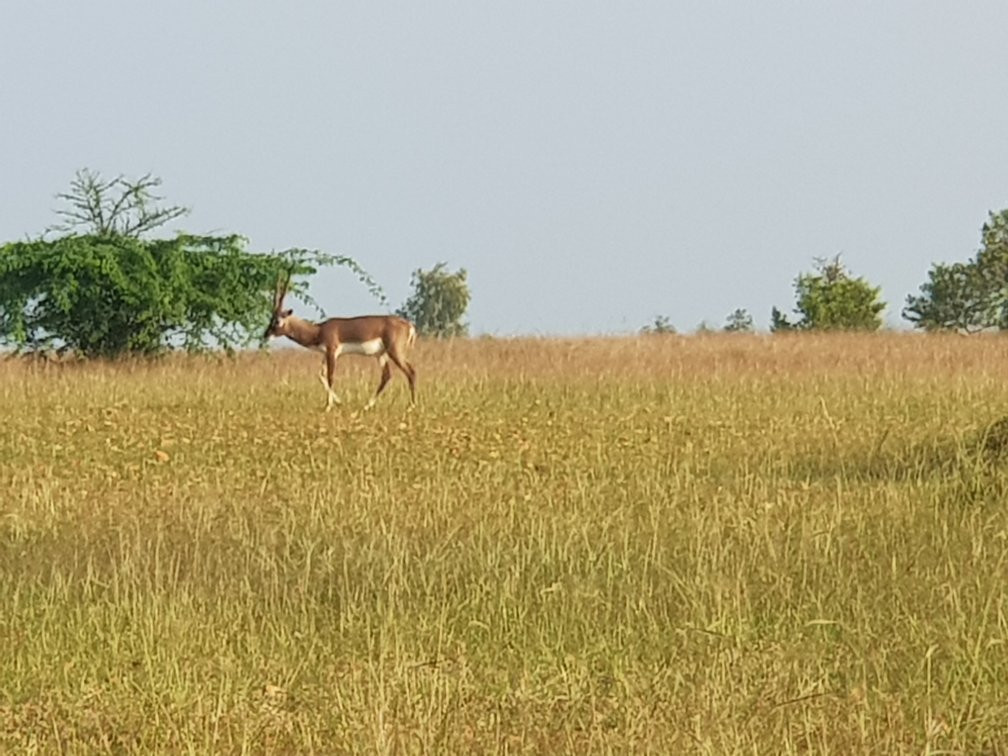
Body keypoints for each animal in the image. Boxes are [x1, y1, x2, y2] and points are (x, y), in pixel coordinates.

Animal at [264, 274, 417, 415]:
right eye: (271, 319)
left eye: (277, 321)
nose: (266, 335)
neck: (319, 330)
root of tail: (408, 325)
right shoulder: (325, 353)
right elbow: (321, 375)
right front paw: (338, 402)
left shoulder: (333, 352)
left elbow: (330, 376)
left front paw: (329, 406)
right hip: (381, 354)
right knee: (387, 376)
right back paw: (367, 406)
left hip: (394, 352)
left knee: (411, 371)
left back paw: (411, 407)